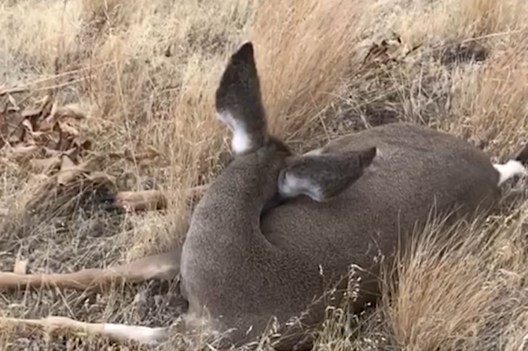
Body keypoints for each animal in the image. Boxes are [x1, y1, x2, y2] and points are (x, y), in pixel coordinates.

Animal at [1, 42, 528, 350]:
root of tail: (494, 171)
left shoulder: (196, 333)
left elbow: (83, 319)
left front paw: (18, 321)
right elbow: (92, 274)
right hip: (342, 144)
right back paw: (124, 196)